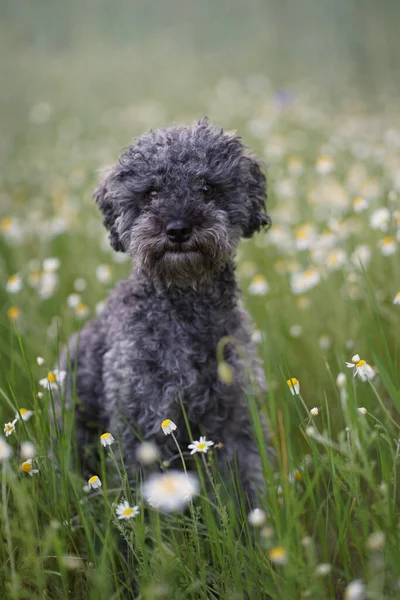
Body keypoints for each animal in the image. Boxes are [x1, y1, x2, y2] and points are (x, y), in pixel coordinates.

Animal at [58, 117, 272, 502]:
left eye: (207, 188)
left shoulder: (235, 418)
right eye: (151, 193)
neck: (186, 312)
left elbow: (247, 483)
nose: (177, 229)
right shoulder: (141, 425)